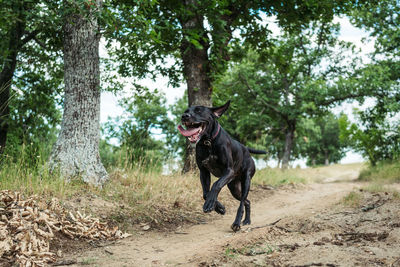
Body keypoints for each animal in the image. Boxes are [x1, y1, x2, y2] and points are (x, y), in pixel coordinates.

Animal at [178, 100, 266, 232]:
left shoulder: (228, 171)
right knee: (247, 201)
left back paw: (237, 223)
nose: (184, 116)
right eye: (186, 111)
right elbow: (205, 193)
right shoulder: (203, 172)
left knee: (242, 203)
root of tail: (246, 148)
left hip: (246, 180)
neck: (208, 142)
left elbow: (216, 185)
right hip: (234, 188)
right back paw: (246, 220)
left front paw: (211, 203)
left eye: (199, 110)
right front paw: (219, 207)